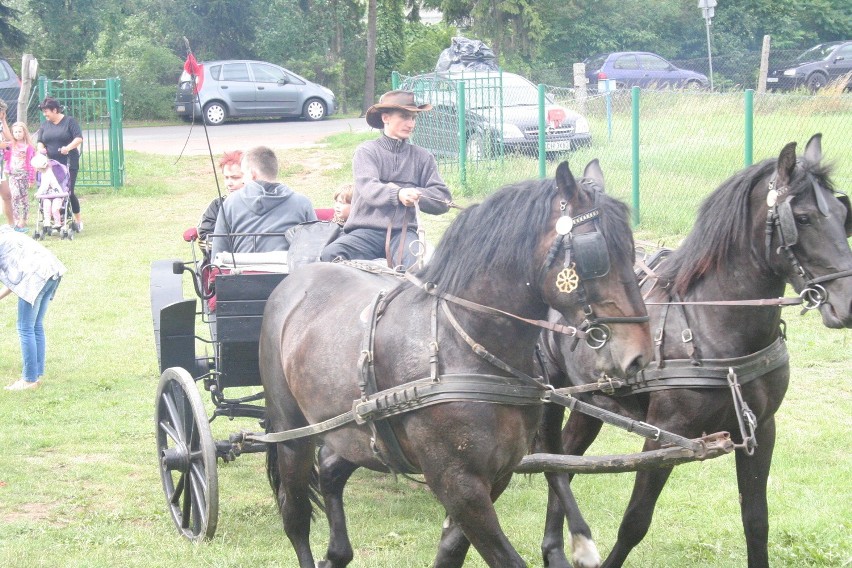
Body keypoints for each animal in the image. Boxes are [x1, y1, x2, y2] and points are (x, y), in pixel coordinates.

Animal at [258, 161, 652, 568]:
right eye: (597, 254)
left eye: (632, 251)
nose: (639, 355)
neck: (464, 348)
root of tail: (299, 278)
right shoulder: (458, 483)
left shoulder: (495, 476)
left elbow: (450, 550)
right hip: (291, 432)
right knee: (295, 515)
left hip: (354, 433)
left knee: (332, 470)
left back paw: (337, 552)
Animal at [540, 134, 852, 568]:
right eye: (803, 218)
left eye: (843, 213)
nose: (849, 304)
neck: (713, 325)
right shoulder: (664, 438)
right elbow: (634, 522)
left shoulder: (761, 429)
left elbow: (756, 521)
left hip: (590, 403)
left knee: (565, 460)